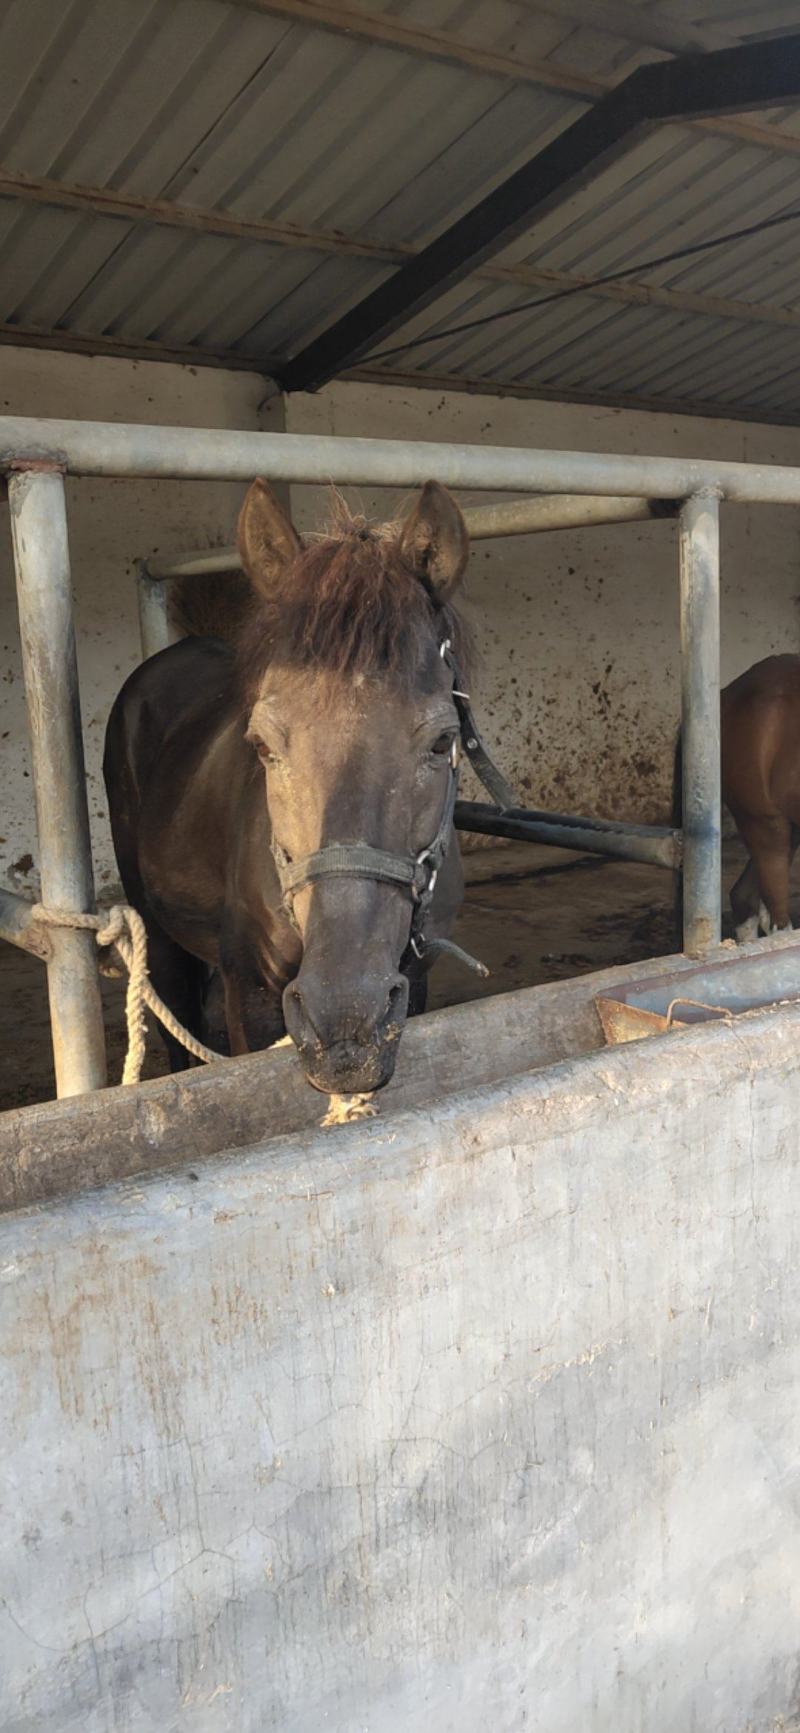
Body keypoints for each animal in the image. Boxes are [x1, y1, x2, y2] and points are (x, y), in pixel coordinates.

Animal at [103, 479, 471, 1095]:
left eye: (444, 741)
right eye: (262, 745)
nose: (345, 1025)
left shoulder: (411, 984)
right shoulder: (250, 994)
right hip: (158, 934)